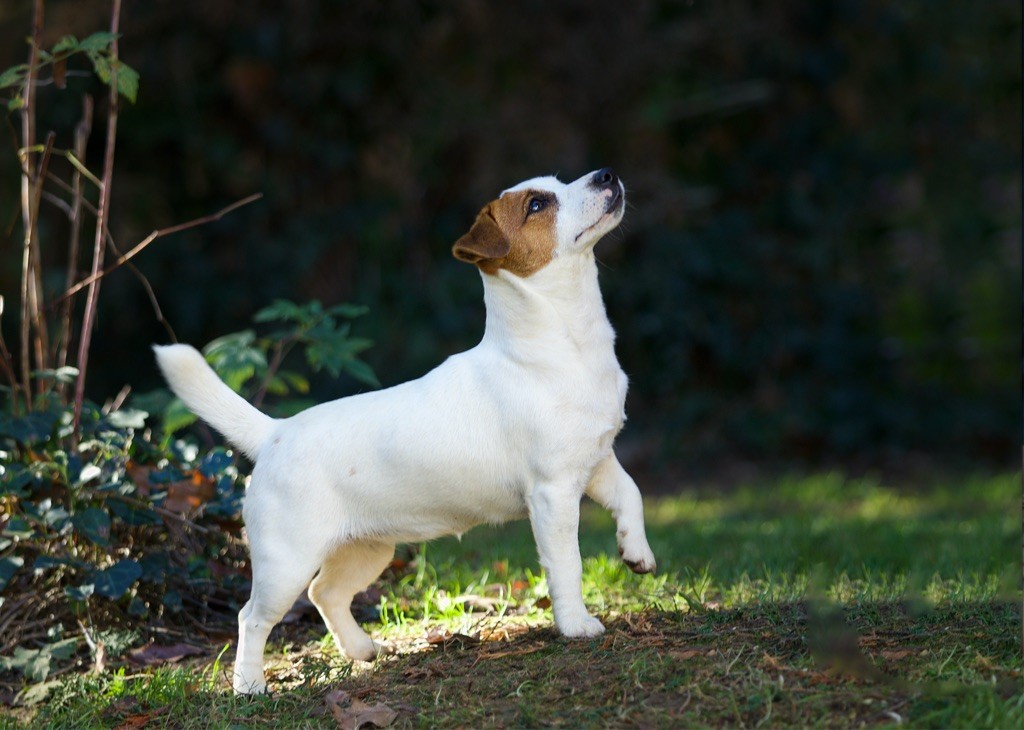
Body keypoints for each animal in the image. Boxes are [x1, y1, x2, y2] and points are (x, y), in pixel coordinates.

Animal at [156, 167, 659, 692]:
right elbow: (567, 564)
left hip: (367, 550)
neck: (563, 344)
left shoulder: (598, 462)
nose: (606, 174)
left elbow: (633, 494)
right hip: (285, 563)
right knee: (252, 617)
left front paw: (637, 554)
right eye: (537, 205)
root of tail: (274, 433)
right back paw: (250, 685)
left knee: (324, 593)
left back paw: (361, 650)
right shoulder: (554, 493)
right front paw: (577, 625)